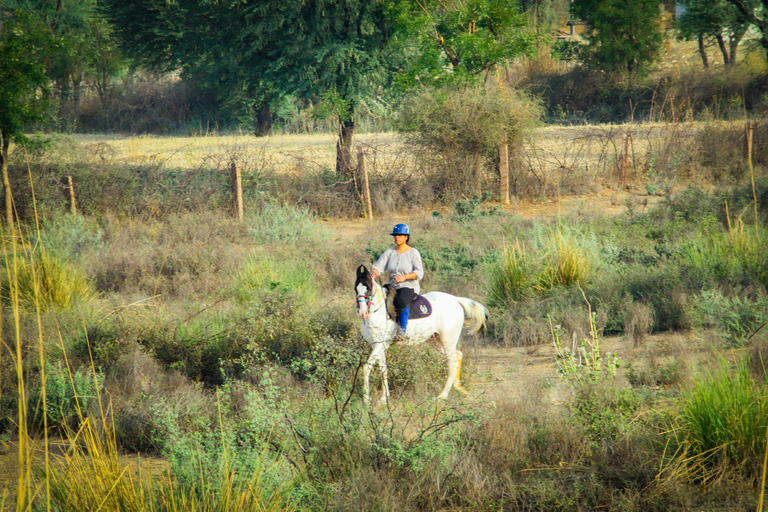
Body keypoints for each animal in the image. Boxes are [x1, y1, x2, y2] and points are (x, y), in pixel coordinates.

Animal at [352, 264, 486, 404]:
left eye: (368, 288)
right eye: (356, 289)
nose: (363, 313)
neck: (378, 311)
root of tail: (455, 300)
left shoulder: (380, 345)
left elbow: (366, 368)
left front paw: (366, 400)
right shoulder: (378, 346)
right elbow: (383, 370)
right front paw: (384, 399)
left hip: (447, 342)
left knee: (453, 364)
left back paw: (442, 395)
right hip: (437, 342)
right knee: (458, 355)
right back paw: (458, 387)